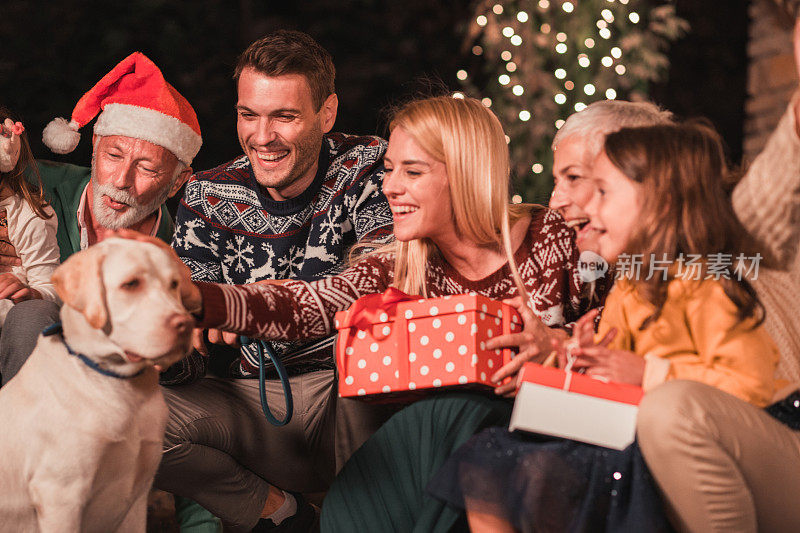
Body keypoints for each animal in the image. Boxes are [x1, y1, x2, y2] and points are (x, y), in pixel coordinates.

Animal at [0, 237, 195, 532]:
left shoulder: (137, 498)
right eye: (131, 284)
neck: (122, 388)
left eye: (173, 284)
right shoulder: (61, 499)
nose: (186, 324)